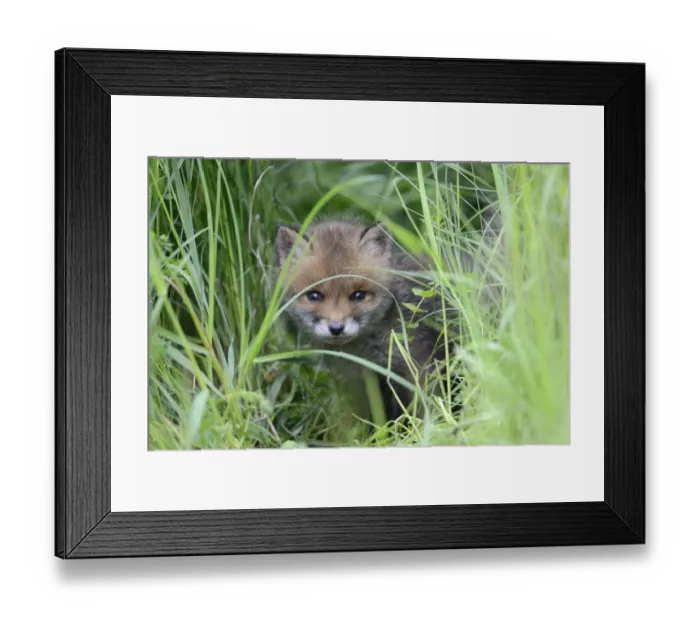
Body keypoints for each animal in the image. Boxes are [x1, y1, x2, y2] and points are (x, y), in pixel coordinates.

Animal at [274, 216, 447, 421]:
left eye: (358, 295)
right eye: (314, 296)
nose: (336, 328)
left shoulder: (419, 366)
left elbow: (425, 410)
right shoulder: (358, 383)